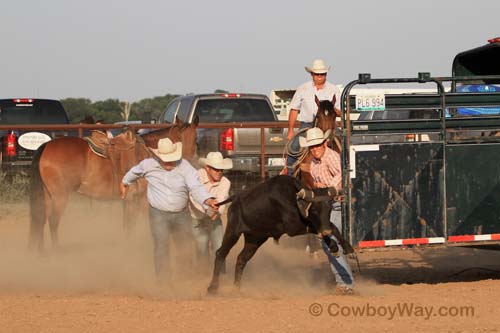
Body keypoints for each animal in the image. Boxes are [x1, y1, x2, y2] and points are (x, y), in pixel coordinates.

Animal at [28, 118, 198, 250]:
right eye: (196, 140)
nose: (189, 160)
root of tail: (45, 146)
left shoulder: (130, 200)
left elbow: (129, 225)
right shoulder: (143, 199)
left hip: (47, 196)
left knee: (41, 220)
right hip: (60, 196)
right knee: (53, 222)